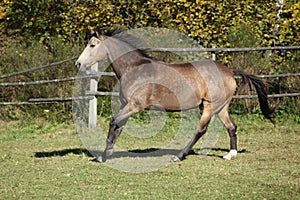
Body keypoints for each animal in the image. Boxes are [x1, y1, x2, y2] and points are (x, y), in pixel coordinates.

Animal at [75, 27, 276, 162]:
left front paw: (103, 156)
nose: (78, 64)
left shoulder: (135, 106)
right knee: (231, 126)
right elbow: (118, 126)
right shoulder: (127, 105)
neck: (135, 69)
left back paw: (179, 156)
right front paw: (106, 153)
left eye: (92, 45)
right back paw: (230, 154)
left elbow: (113, 122)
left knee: (201, 130)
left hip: (210, 107)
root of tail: (229, 71)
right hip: (221, 107)